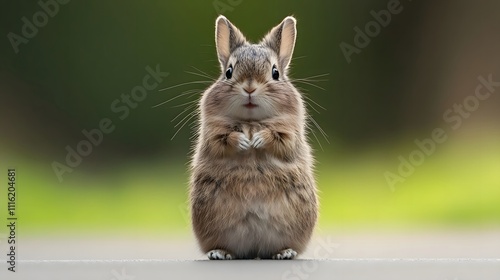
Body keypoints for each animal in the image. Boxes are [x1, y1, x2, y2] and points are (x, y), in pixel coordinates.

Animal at [189, 15, 318, 260]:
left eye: (275, 73)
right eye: (229, 72)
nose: (249, 88)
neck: (250, 121)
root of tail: (254, 251)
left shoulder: (289, 134)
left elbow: (277, 139)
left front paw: (256, 140)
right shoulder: (214, 134)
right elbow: (224, 139)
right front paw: (243, 141)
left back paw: (284, 252)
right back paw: (219, 253)